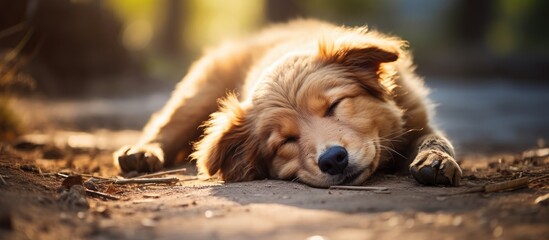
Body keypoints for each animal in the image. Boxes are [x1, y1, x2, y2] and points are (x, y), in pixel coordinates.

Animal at [114, 19, 462, 188]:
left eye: (335, 106)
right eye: (286, 141)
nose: (333, 160)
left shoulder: (417, 119)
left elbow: (435, 139)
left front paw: (435, 160)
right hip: (198, 93)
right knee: (165, 123)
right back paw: (142, 153)